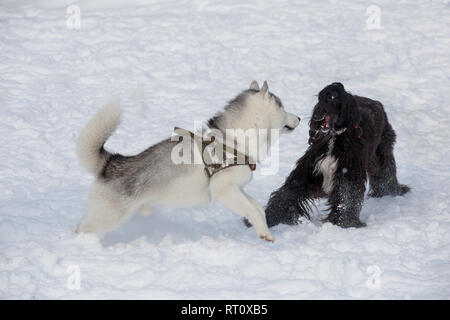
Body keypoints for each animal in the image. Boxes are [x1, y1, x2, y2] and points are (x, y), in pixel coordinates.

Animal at [264, 82, 408, 228]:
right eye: (319, 98)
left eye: (331, 98)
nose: (316, 116)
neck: (335, 136)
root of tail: (376, 102)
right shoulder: (311, 170)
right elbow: (289, 191)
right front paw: (270, 218)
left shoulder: (348, 170)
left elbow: (347, 195)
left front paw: (344, 223)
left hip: (381, 150)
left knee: (385, 172)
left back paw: (390, 192)